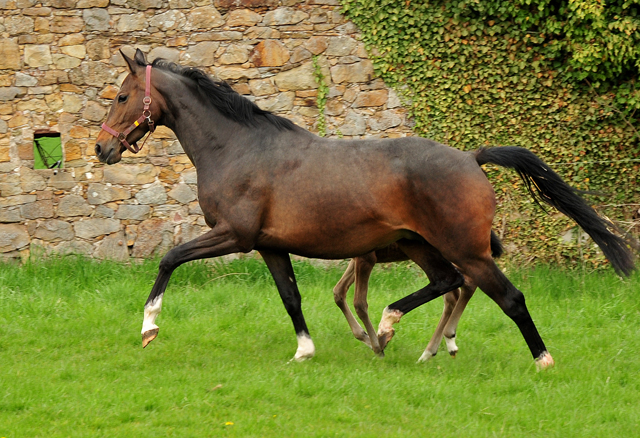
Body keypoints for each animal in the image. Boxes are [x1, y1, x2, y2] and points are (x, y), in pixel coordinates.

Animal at [95, 49, 636, 368]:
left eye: (121, 96)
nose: (102, 149)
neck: (238, 148)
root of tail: (471, 157)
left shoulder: (234, 234)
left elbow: (169, 259)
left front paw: (148, 327)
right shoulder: (269, 246)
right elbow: (290, 297)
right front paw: (305, 351)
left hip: (467, 250)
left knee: (506, 297)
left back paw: (537, 360)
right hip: (420, 247)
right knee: (448, 283)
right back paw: (395, 330)